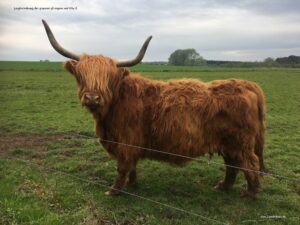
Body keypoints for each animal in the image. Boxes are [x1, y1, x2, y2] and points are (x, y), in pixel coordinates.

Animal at [42, 20, 268, 197]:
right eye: (81, 75)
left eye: (109, 77)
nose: (92, 97)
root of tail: (247, 84)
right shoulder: (130, 143)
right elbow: (131, 166)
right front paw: (131, 184)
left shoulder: (126, 142)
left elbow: (122, 167)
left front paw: (114, 191)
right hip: (228, 143)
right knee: (233, 165)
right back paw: (223, 186)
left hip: (240, 142)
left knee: (250, 163)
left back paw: (249, 193)